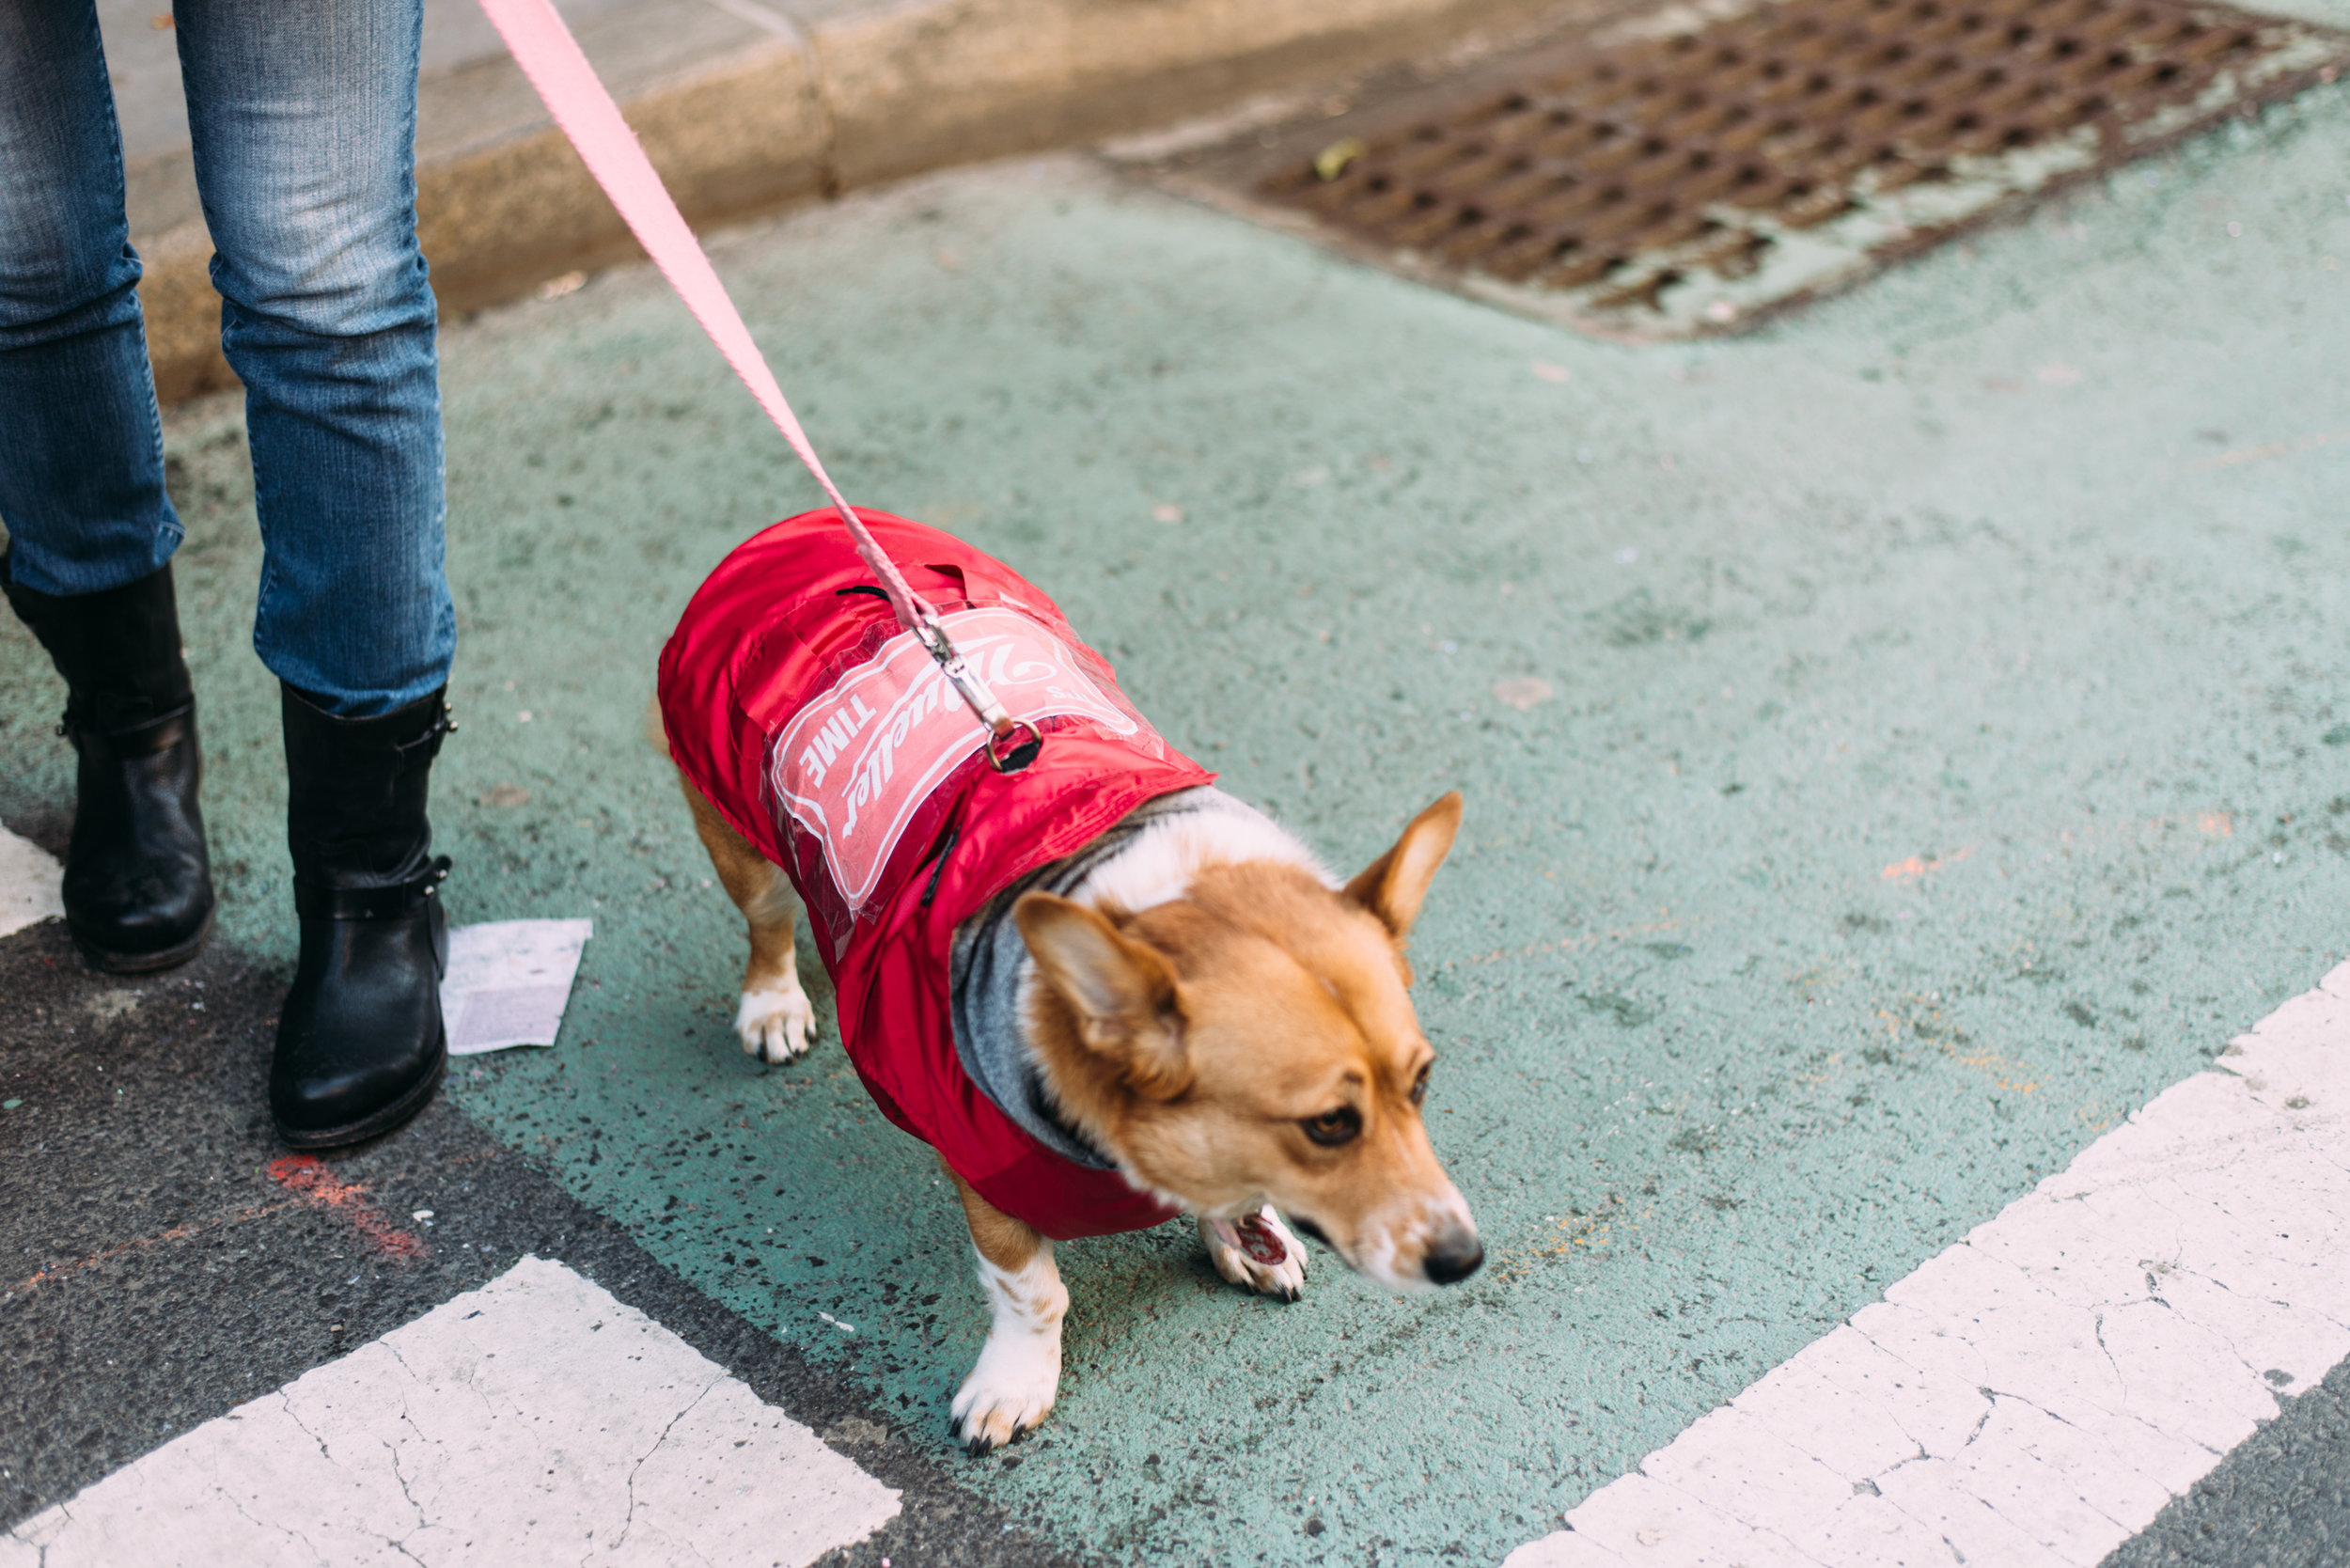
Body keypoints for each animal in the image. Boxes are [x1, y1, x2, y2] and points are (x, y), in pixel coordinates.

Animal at [663, 510, 1476, 1457]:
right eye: (1328, 1124)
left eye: (1422, 1083)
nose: (1465, 1259)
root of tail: (804, 522)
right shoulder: (987, 1182)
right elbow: (1033, 1293)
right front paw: (1013, 1384)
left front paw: (1245, 1237)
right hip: (738, 834)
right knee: (767, 922)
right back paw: (774, 1005)